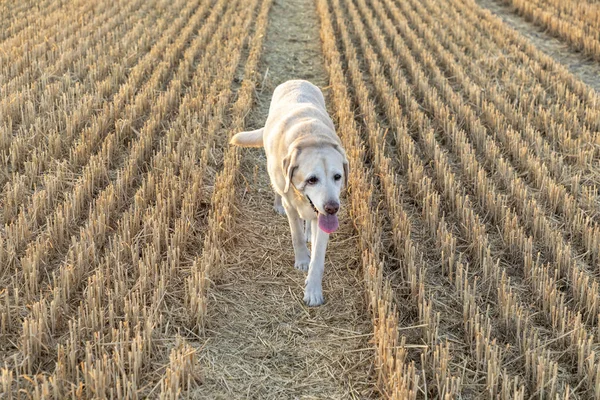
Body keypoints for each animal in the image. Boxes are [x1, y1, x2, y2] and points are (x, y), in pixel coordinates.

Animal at [231, 80, 352, 306]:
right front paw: (303, 260)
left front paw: (313, 290)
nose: (333, 208)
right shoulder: (292, 205)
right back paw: (279, 205)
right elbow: (296, 235)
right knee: (278, 190)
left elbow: (318, 258)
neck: (310, 137)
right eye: (312, 179)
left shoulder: (323, 217)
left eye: (337, 176)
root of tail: (296, 80)